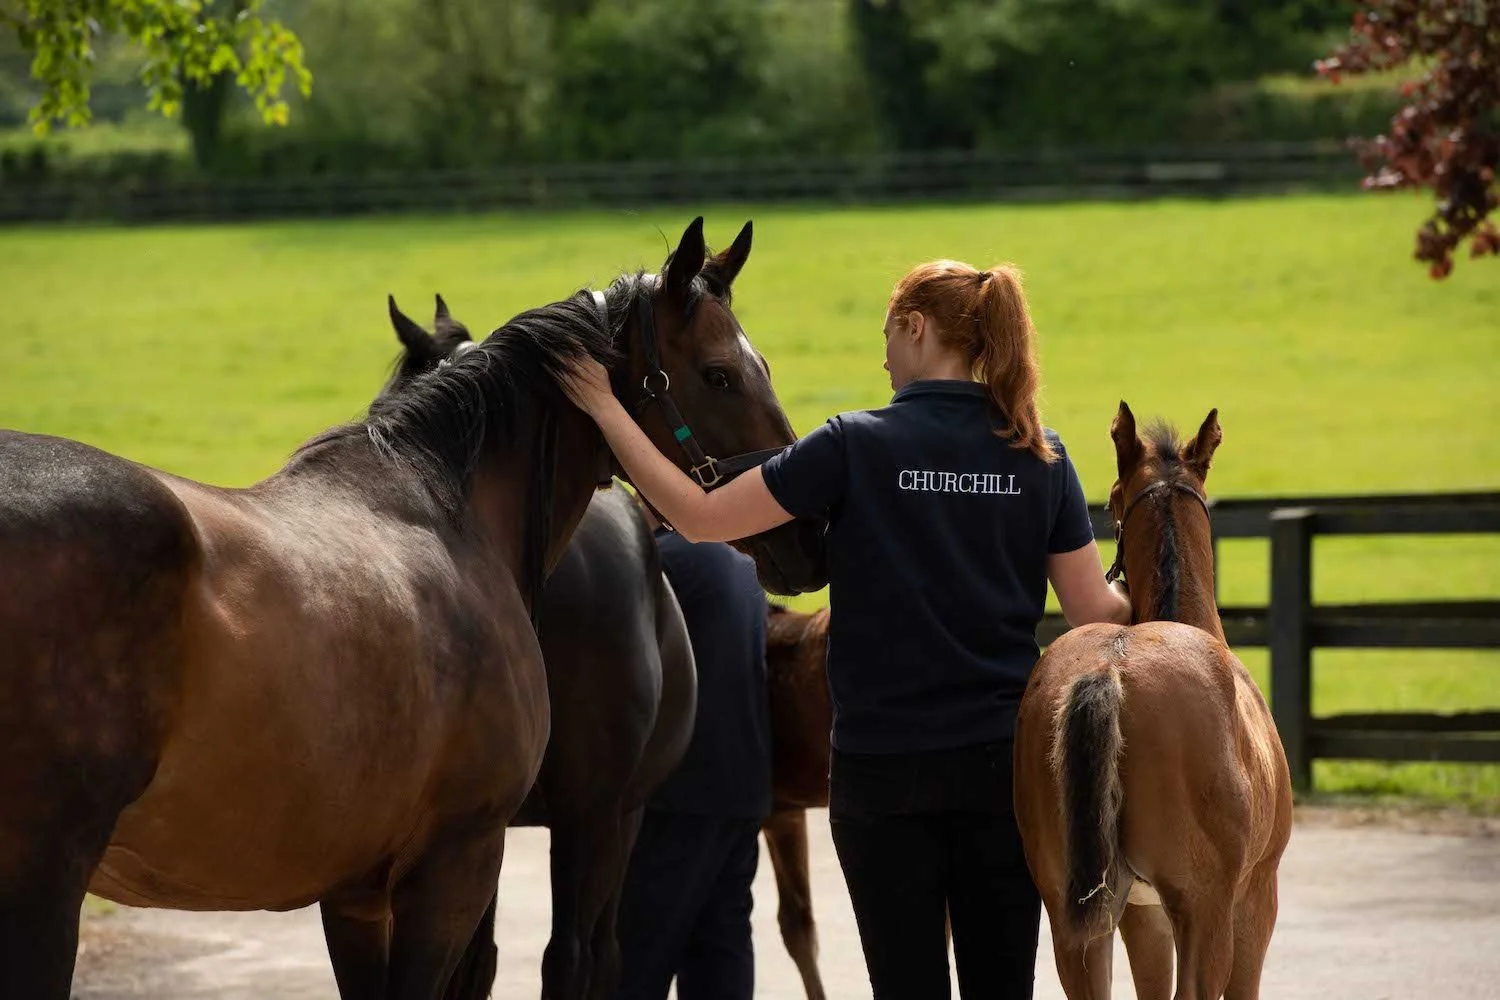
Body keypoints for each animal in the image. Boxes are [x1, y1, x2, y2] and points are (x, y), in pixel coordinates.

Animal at [1014, 404, 1293, 1000]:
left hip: (1075, 920)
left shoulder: (1142, 917)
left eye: (1112, 498)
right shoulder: (1254, 899)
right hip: (1205, 912)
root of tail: (1108, 670)